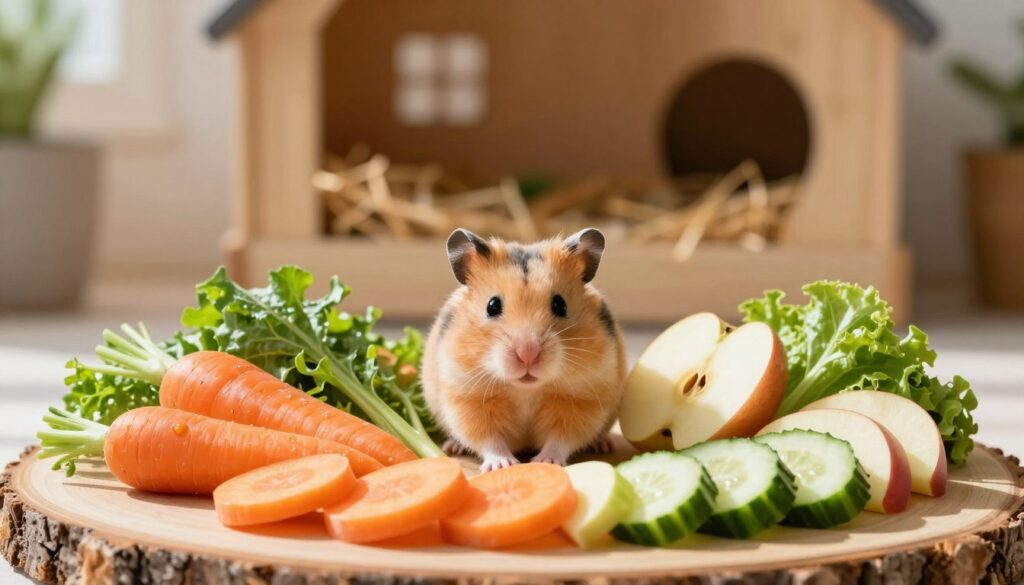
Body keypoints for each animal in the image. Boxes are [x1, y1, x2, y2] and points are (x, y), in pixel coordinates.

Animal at [421, 227, 628, 472]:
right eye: (492, 306)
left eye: (560, 305)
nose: (527, 354)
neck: (525, 390)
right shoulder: (468, 397)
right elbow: (488, 438)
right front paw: (502, 465)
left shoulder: (580, 399)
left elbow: (562, 437)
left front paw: (545, 461)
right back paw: (453, 447)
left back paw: (602, 445)